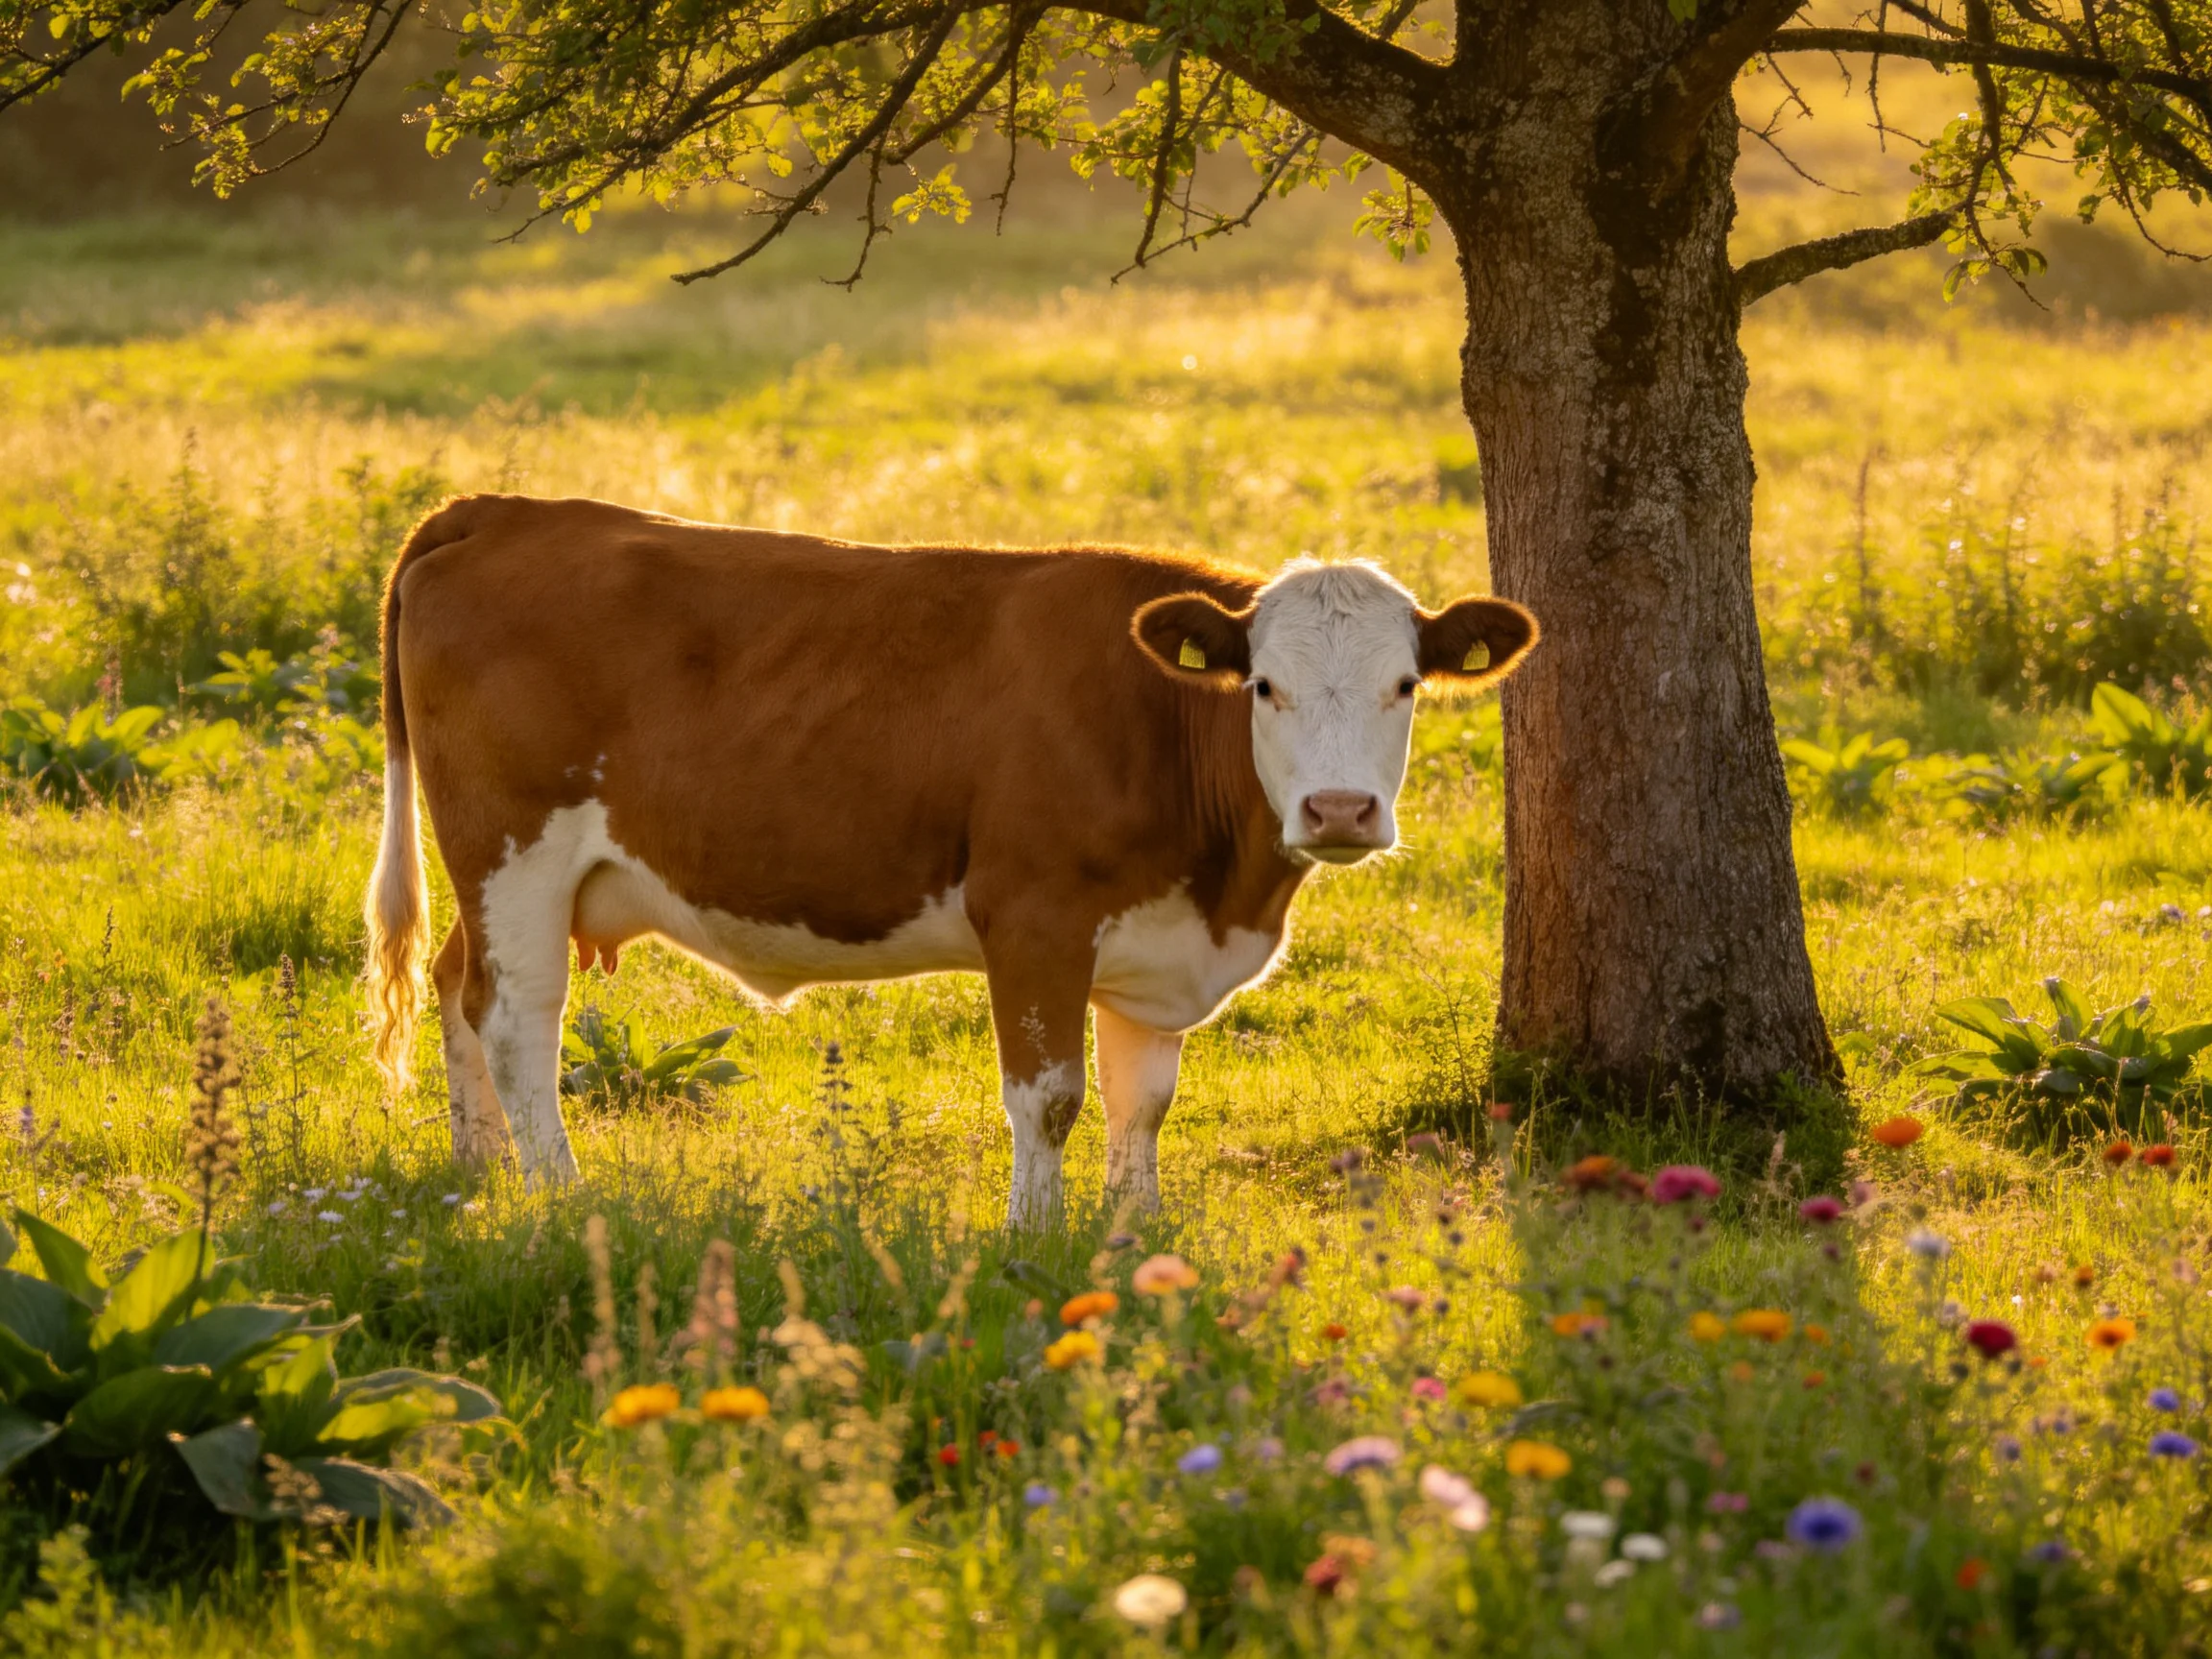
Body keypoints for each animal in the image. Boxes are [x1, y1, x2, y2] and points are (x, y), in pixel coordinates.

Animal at [362, 495, 1537, 1223]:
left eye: (1405, 685)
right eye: (1264, 686)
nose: (1339, 809)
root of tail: (507, 510)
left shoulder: (1156, 947)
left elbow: (1143, 1101)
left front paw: (1137, 1234)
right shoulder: (1034, 918)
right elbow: (1050, 1097)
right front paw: (1034, 1237)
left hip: (498, 872)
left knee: (457, 986)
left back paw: (480, 1173)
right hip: (514, 849)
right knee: (518, 1021)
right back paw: (560, 1194)